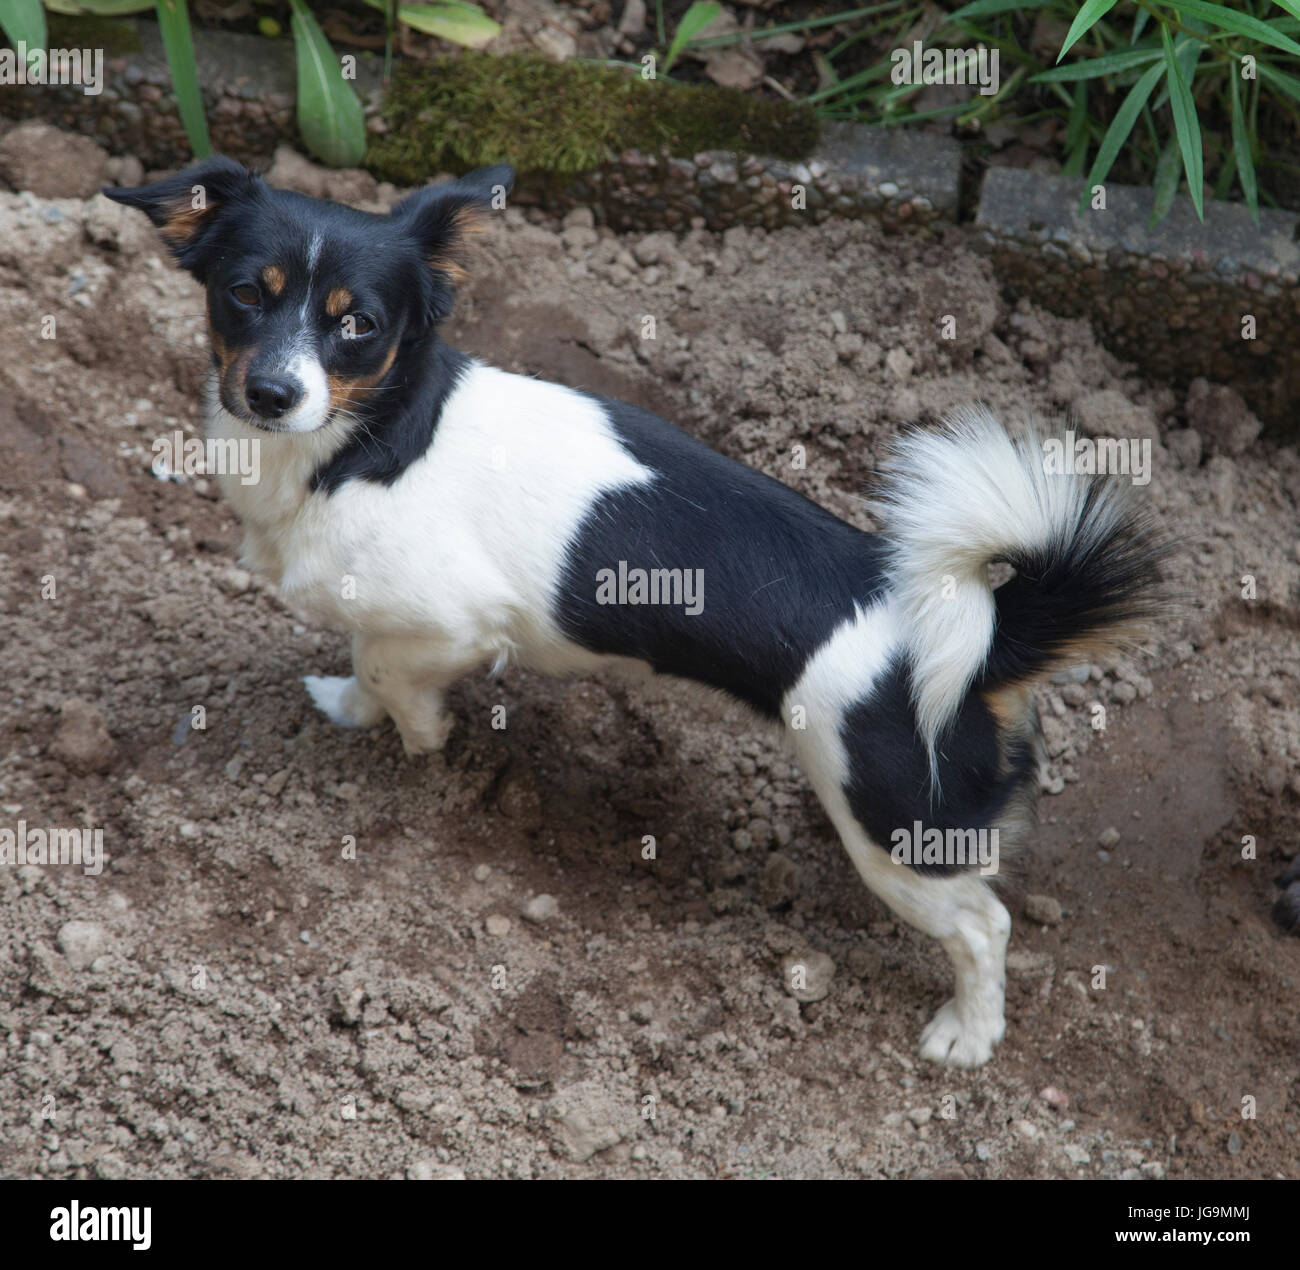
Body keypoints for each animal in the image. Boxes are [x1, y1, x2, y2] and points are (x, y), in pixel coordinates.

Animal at [104, 161, 1170, 1071]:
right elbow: (362, 656)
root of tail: (988, 641)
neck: (368, 438)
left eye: (356, 324)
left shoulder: (453, 622)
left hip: (899, 833)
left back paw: (968, 1034)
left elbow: (392, 673)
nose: (270, 391)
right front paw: (352, 710)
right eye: (244, 294)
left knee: (985, 926)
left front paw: (419, 741)